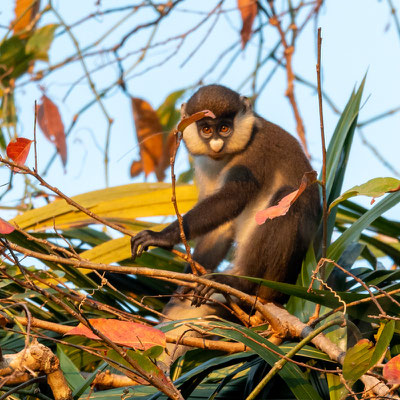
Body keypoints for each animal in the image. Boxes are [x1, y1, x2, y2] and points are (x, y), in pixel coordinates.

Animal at [131, 84, 322, 366]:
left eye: (224, 128)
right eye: (206, 129)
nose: (217, 143)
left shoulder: (257, 150)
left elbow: (234, 196)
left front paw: (161, 237)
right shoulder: (204, 165)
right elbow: (221, 229)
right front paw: (188, 278)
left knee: (288, 201)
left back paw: (241, 284)